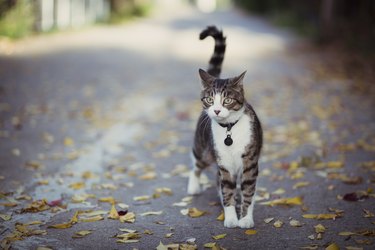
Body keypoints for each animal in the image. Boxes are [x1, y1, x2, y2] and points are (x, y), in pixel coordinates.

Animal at [187, 25, 262, 229]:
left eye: (227, 100)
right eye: (210, 99)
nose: (217, 110)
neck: (229, 129)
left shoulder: (250, 163)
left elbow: (248, 191)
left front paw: (245, 219)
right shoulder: (224, 164)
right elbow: (227, 189)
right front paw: (230, 218)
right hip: (205, 150)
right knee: (196, 164)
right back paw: (193, 186)